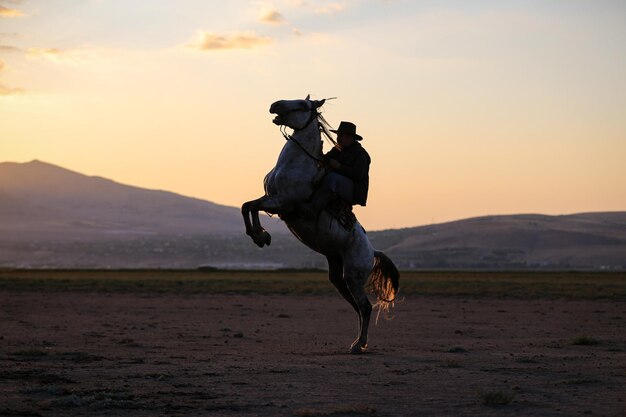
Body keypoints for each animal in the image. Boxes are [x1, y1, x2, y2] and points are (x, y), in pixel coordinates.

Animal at [241, 94, 398, 352]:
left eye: (302, 105)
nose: (274, 105)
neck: (297, 165)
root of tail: (372, 251)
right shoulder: (270, 199)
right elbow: (248, 206)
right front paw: (261, 236)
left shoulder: (283, 204)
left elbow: (251, 207)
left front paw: (261, 235)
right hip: (338, 275)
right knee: (358, 308)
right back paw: (358, 342)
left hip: (354, 275)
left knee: (365, 307)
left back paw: (359, 345)